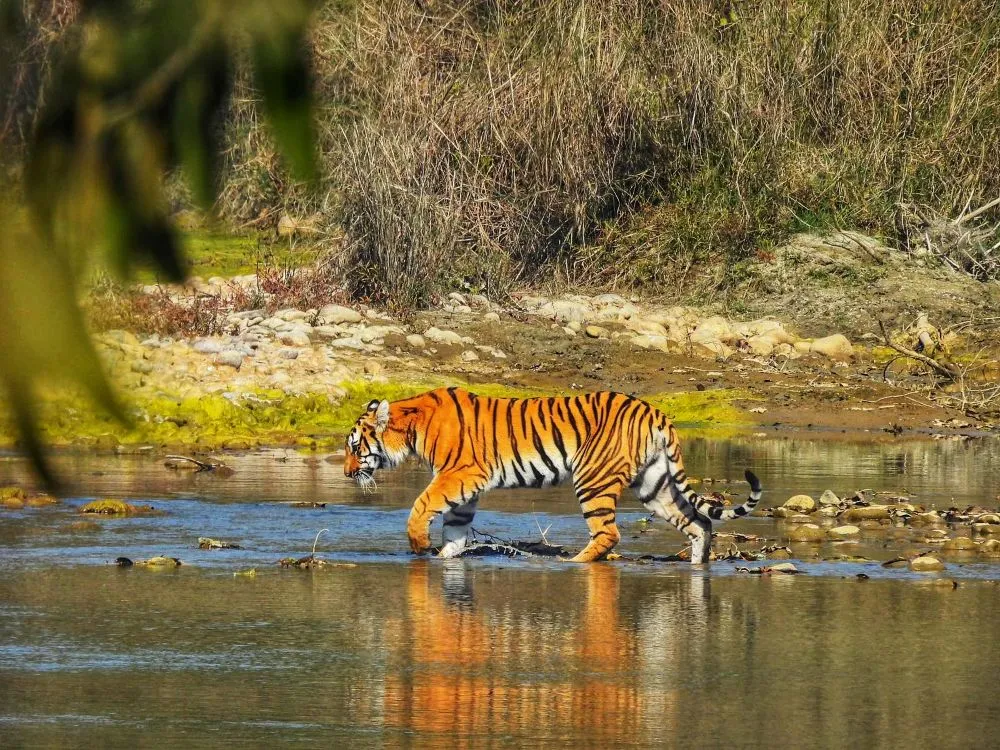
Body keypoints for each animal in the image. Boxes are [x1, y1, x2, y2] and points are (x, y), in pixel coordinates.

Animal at [343, 387, 762, 563]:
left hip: (593, 479)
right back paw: (699, 565)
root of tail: (654, 411)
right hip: (653, 484)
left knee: (608, 533)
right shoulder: (466, 487)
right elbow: (456, 529)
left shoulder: (459, 474)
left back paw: (573, 563)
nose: (347, 473)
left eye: (354, 446)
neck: (412, 428)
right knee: (699, 523)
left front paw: (418, 545)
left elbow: (421, 505)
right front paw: (444, 557)